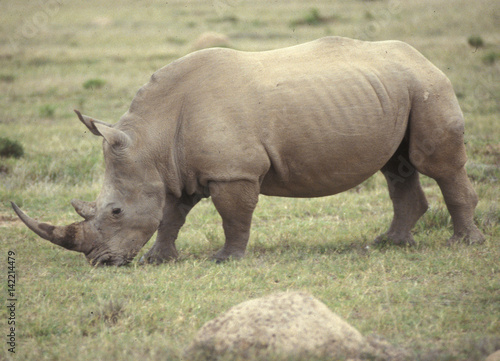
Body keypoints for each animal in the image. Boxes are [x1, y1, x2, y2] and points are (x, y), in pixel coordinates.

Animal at [13, 36, 486, 266]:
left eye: (114, 212)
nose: (100, 262)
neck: (153, 140)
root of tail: (422, 57)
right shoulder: (178, 170)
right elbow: (170, 216)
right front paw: (156, 260)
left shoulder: (233, 170)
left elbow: (232, 216)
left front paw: (226, 260)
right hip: (393, 88)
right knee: (396, 166)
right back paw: (391, 243)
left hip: (427, 85)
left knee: (435, 164)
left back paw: (464, 244)